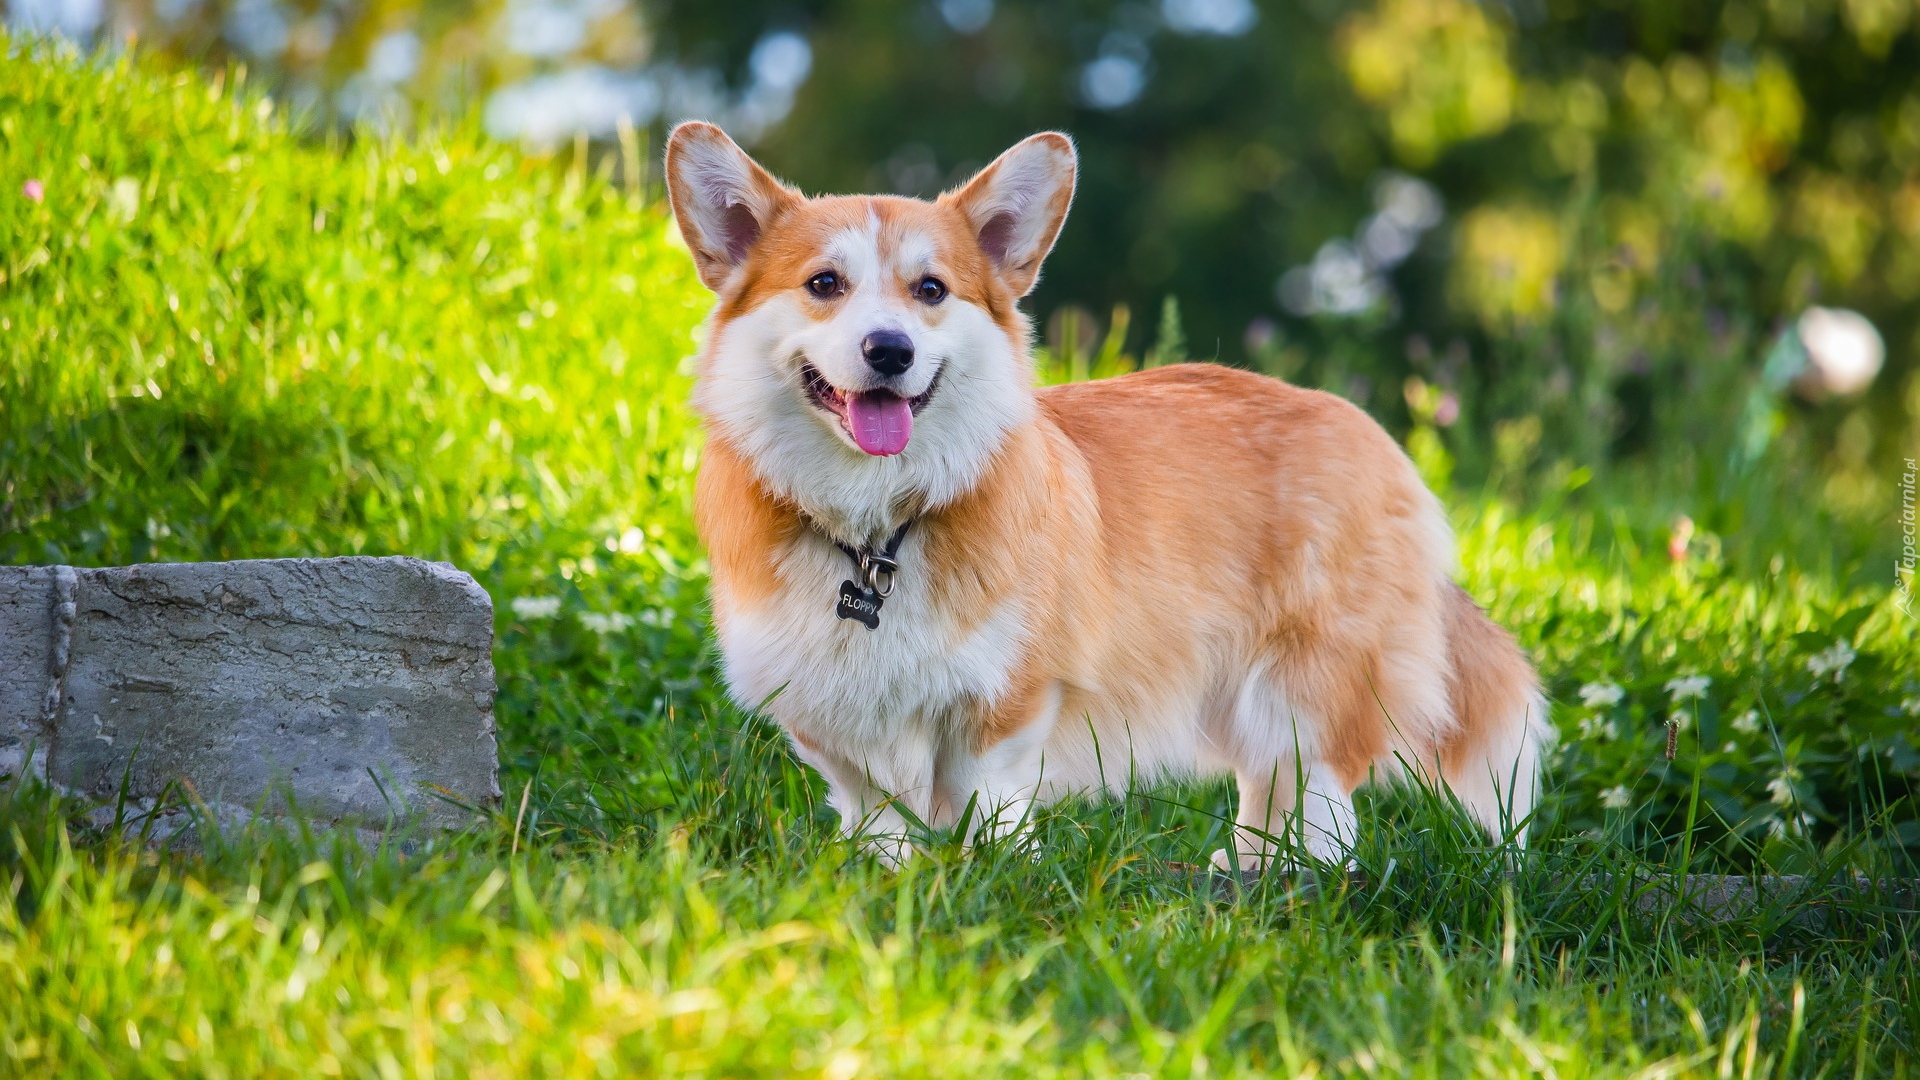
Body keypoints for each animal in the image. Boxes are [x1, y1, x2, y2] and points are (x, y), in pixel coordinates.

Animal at [668, 122, 1551, 868]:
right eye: (824, 283)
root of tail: (1374, 435)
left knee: (1321, 792)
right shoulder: (831, 718)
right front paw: (888, 878)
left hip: (1307, 681)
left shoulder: (1009, 701)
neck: (880, 528)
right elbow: (877, 815)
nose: (890, 351)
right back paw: (1248, 869)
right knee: (1269, 784)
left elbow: (988, 802)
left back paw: (1295, 882)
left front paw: (997, 875)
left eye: (931, 291)